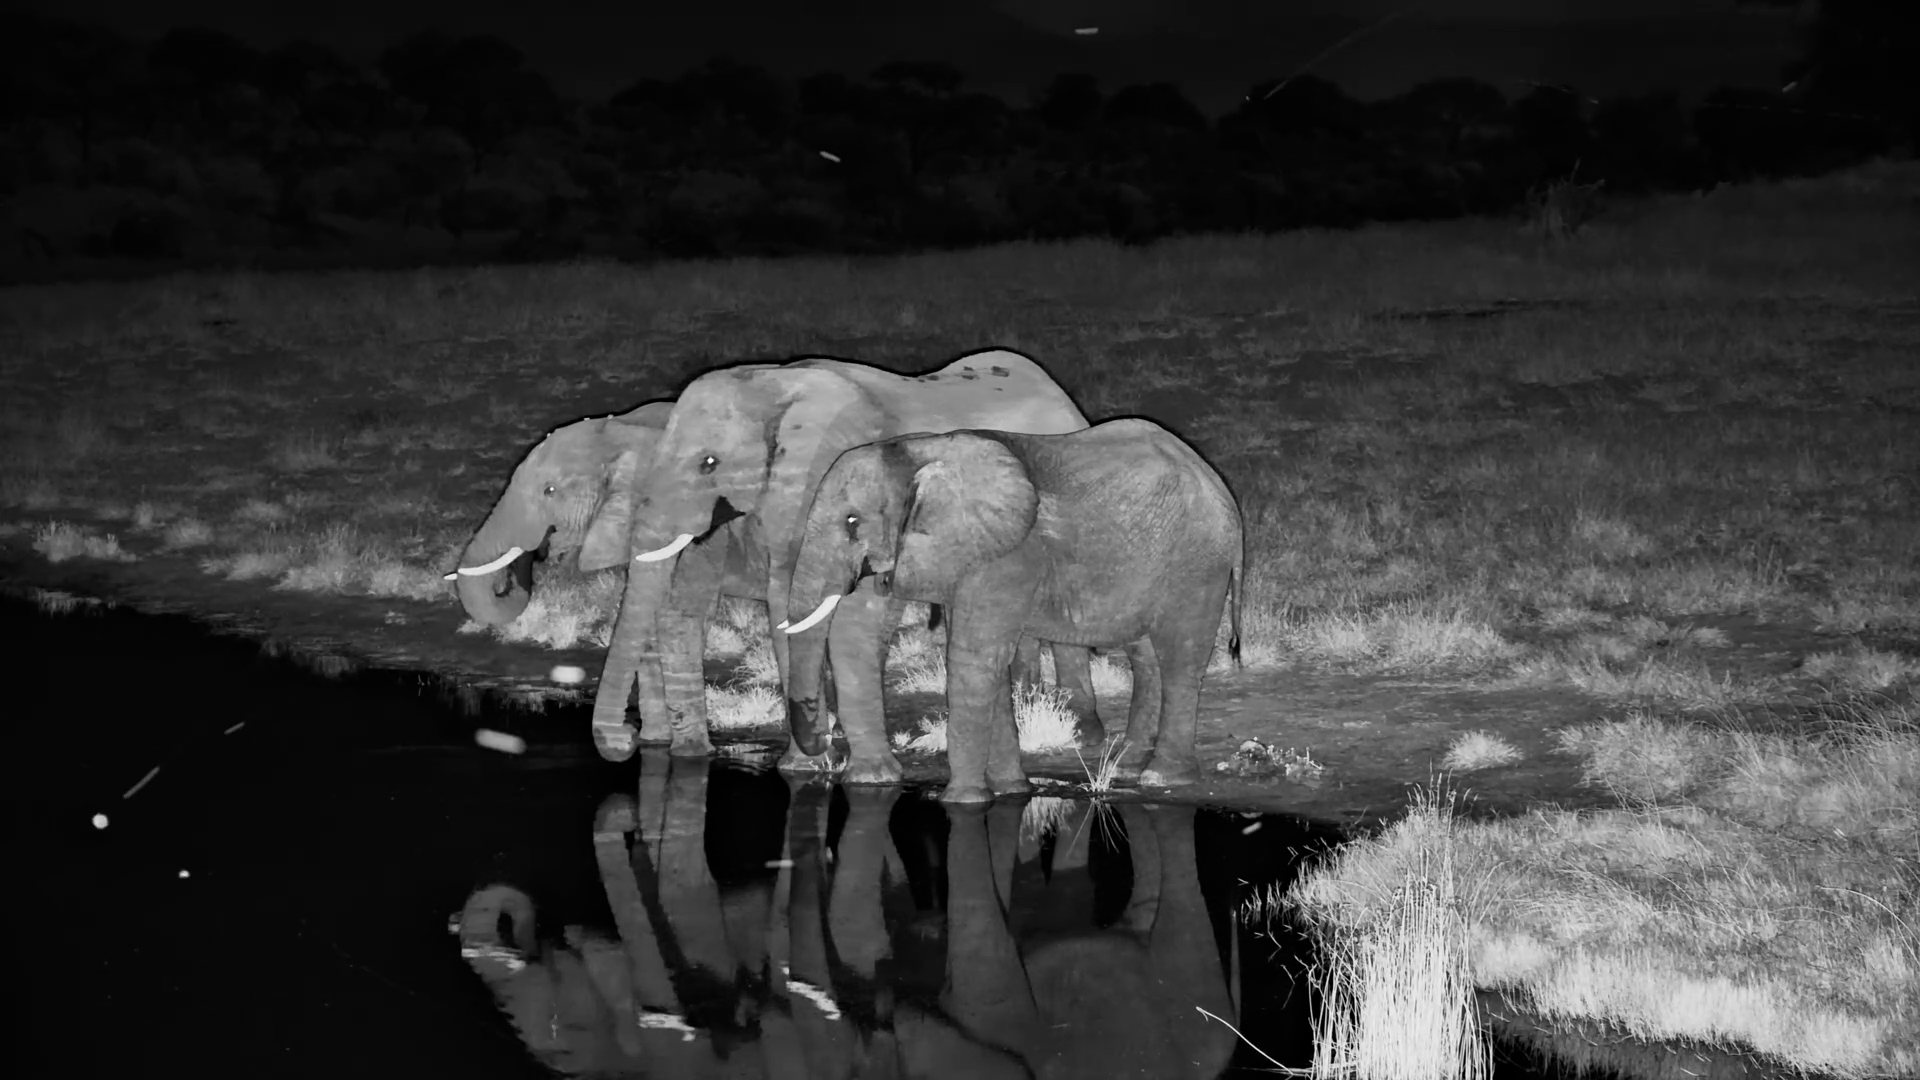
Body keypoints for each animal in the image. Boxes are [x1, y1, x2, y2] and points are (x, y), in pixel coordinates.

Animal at [584, 348, 1105, 776]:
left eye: (708, 463)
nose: (625, 741)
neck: (771, 382)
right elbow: (689, 602)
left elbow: (793, 603)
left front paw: (805, 766)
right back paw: (1029, 702)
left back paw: (1082, 730)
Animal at [782, 419, 1244, 803]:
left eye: (852, 521)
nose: (824, 744)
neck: (923, 449)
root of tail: (1218, 485)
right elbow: (975, 660)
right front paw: (1008, 791)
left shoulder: (1007, 557)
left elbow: (973, 660)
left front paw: (961, 801)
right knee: (1147, 656)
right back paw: (1126, 767)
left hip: (1198, 564)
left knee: (1180, 657)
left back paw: (1162, 777)